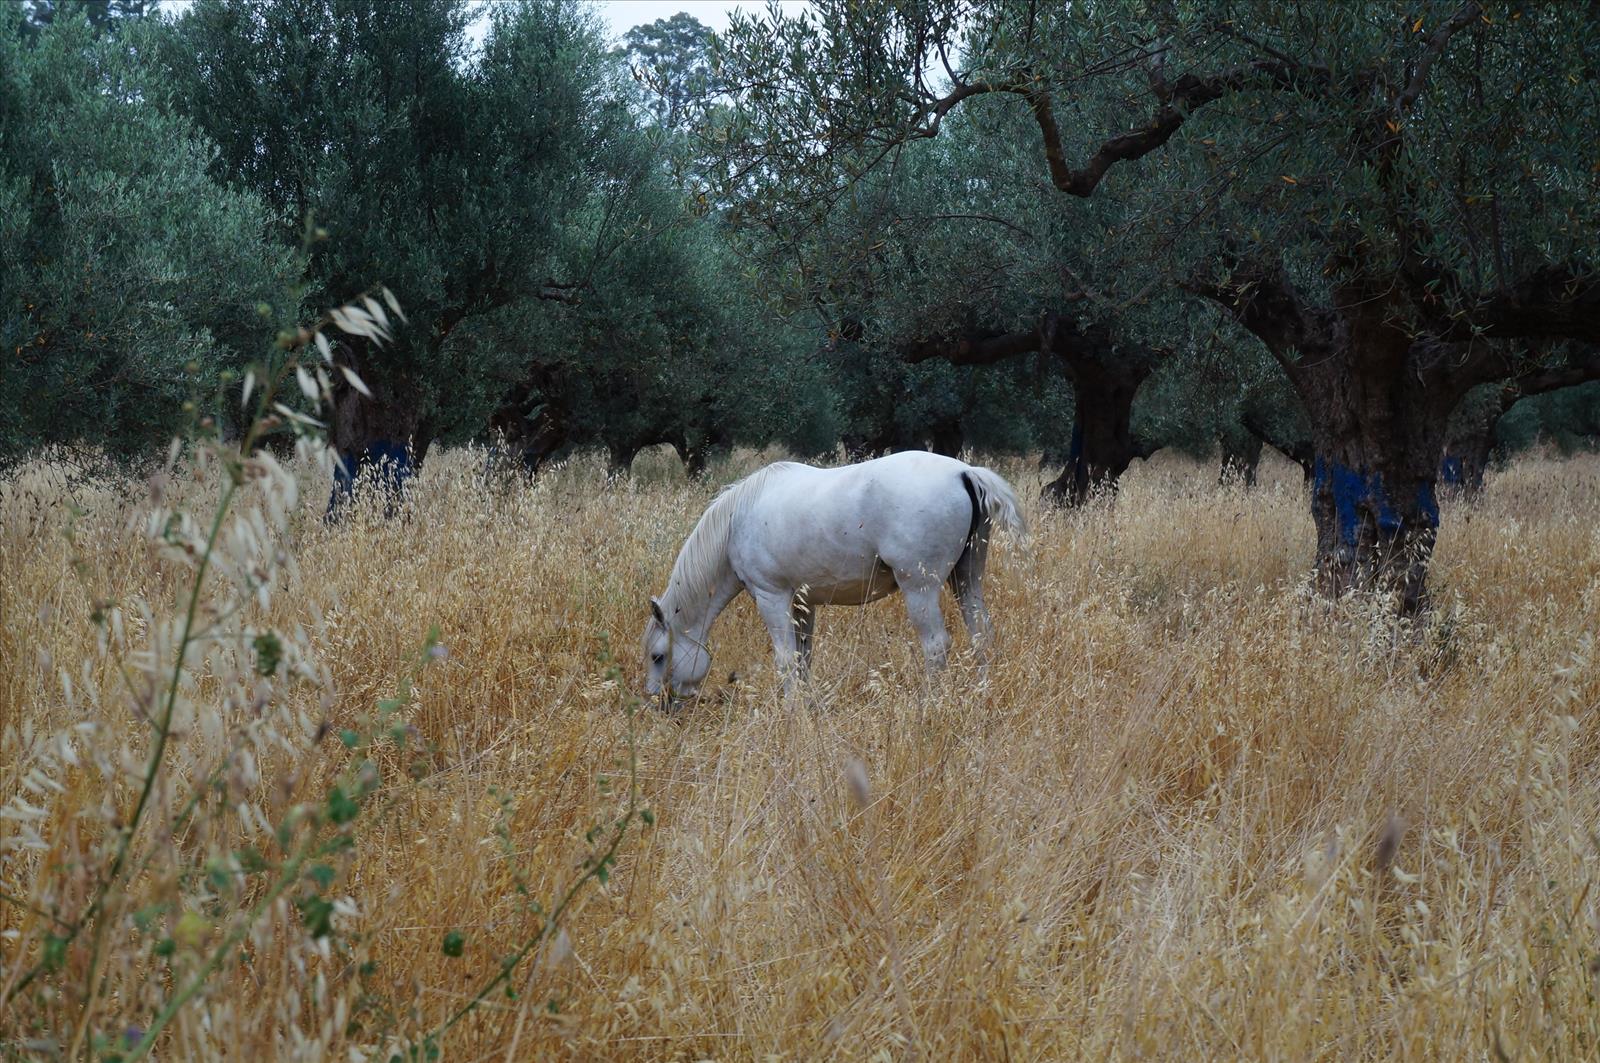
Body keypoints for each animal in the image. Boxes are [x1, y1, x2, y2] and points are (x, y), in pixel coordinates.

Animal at [640, 451, 1024, 701]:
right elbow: (803, 657)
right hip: (967, 580)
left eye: (658, 656)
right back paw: (982, 694)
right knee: (981, 635)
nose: (658, 703)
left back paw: (931, 704)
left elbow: (785, 658)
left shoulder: (771, 597)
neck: (738, 520)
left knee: (936, 646)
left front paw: (791, 710)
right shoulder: (802, 603)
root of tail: (964, 472)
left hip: (920, 589)